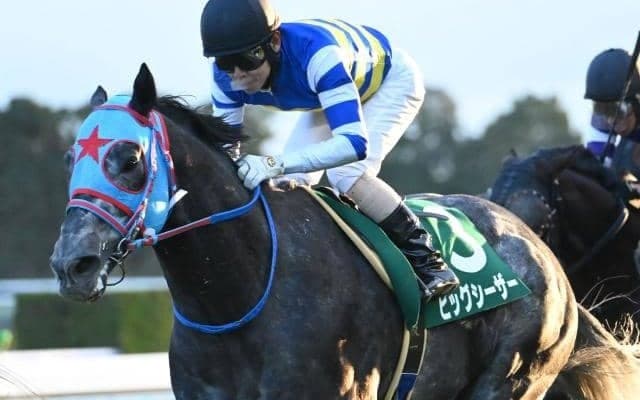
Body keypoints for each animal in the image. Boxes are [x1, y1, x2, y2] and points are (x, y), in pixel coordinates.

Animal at [49, 64, 583, 399]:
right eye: (71, 157)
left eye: (130, 158)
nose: (72, 265)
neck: (238, 296)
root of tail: (537, 247)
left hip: (515, 374)